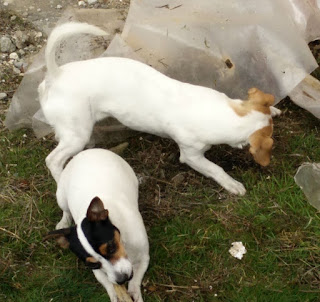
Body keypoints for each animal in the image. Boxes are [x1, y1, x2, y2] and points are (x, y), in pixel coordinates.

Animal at [39, 22, 280, 195]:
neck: (217, 114)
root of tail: (56, 74)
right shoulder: (191, 156)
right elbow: (215, 168)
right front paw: (231, 184)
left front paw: (274, 109)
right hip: (75, 135)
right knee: (52, 160)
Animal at [45, 149, 149, 302]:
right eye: (92, 264)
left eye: (111, 248)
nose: (122, 279)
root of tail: (88, 151)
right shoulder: (98, 272)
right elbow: (108, 283)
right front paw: (115, 294)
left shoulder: (144, 257)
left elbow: (136, 279)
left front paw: (135, 292)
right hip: (61, 197)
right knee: (66, 209)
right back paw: (64, 222)